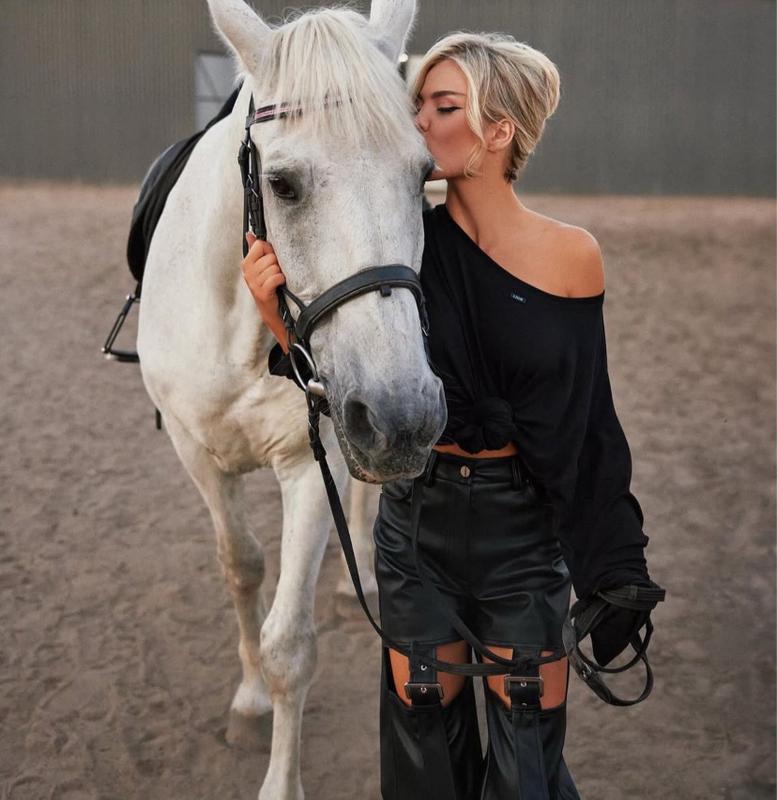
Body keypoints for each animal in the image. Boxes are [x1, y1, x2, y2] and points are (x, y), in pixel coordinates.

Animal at [135, 0, 446, 797]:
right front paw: (246, 703)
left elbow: (291, 647)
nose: (402, 416)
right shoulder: (197, 454)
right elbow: (241, 568)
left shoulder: (316, 462)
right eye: (281, 184)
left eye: (423, 175)